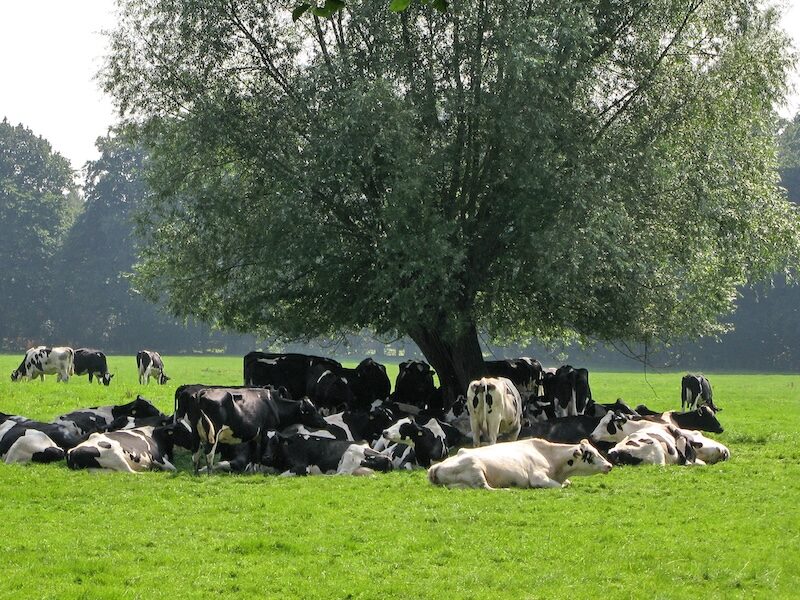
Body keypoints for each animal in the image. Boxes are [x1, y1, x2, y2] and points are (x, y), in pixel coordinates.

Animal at [427, 438, 612, 490]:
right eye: (590, 455)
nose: (609, 465)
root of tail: (436, 466)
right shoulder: (538, 478)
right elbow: (561, 486)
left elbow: (567, 483)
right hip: (475, 468)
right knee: (486, 488)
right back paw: (507, 489)